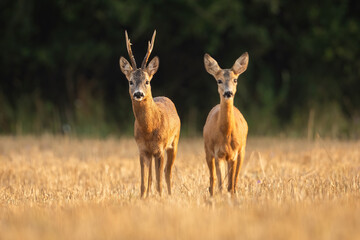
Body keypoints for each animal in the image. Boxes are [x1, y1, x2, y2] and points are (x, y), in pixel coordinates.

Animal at [119, 30, 180, 199]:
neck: (149, 129)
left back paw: (170, 195)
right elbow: (143, 183)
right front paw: (143, 199)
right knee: (152, 177)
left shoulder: (160, 148)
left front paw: (160, 198)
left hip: (174, 142)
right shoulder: (142, 149)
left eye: (147, 81)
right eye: (130, 81)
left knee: (167, 173)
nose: (138, 94)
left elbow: (159, 182)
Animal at [204, 51, 249, 196]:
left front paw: (232, 197)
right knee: (212, 179)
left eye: (235, 80)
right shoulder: (217, 153)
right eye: (219, 80)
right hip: (207, 150)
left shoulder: (234, 154)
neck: (226, 133)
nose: (228, 93)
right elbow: (221, 184)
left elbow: (231, 184)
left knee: (234, 180)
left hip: (242, 151)